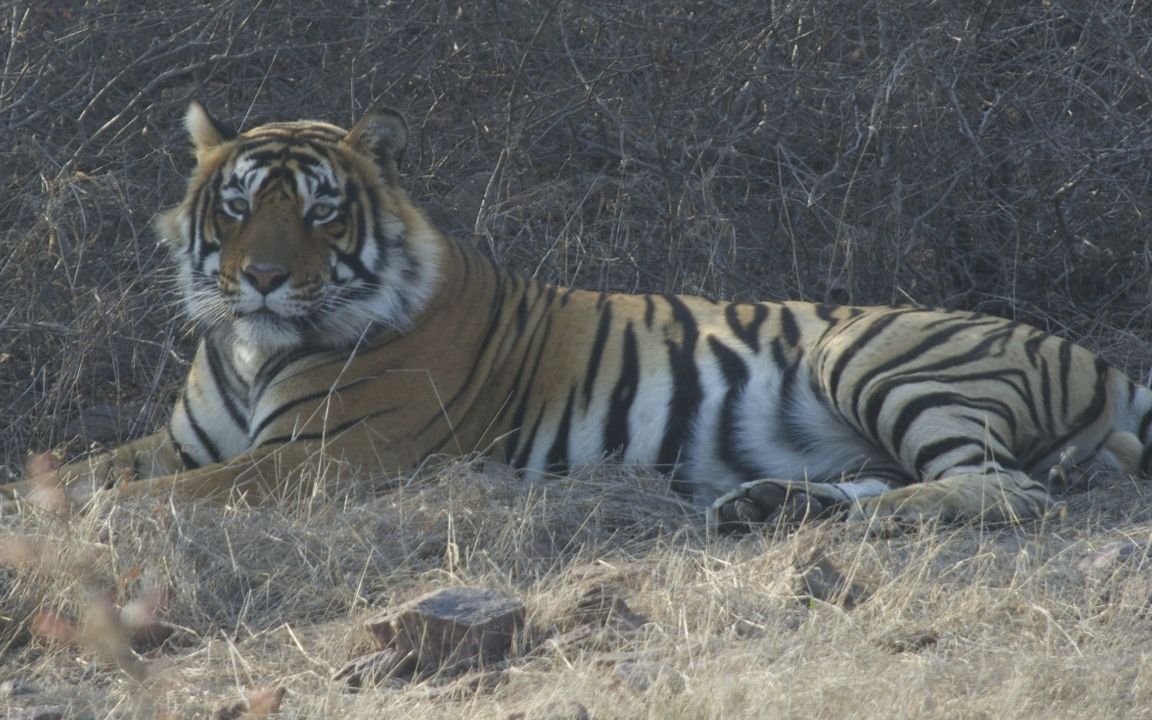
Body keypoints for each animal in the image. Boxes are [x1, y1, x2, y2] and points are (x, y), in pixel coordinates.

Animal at [2, 98, 1152, 529]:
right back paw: (764, 508)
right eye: (239, 207)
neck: (250, 350)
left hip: (875, 352)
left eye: (320, 211)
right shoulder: (180, 440)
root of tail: (1093, 355)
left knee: (1000, 490)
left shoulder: (328, 458)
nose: (263, 279)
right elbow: (89, 469)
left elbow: (168, 498)